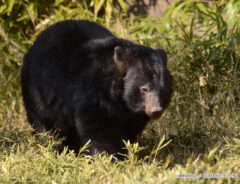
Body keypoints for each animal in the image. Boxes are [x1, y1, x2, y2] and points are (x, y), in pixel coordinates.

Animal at [21, 19, 172, 158]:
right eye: (144, 89)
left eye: (163, 90)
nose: (156, 110)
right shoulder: (94, 94)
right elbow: (99, 127)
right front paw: (110, 157)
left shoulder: (134, 113)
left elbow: (130, 129)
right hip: (38, 94)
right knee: (46, 126)